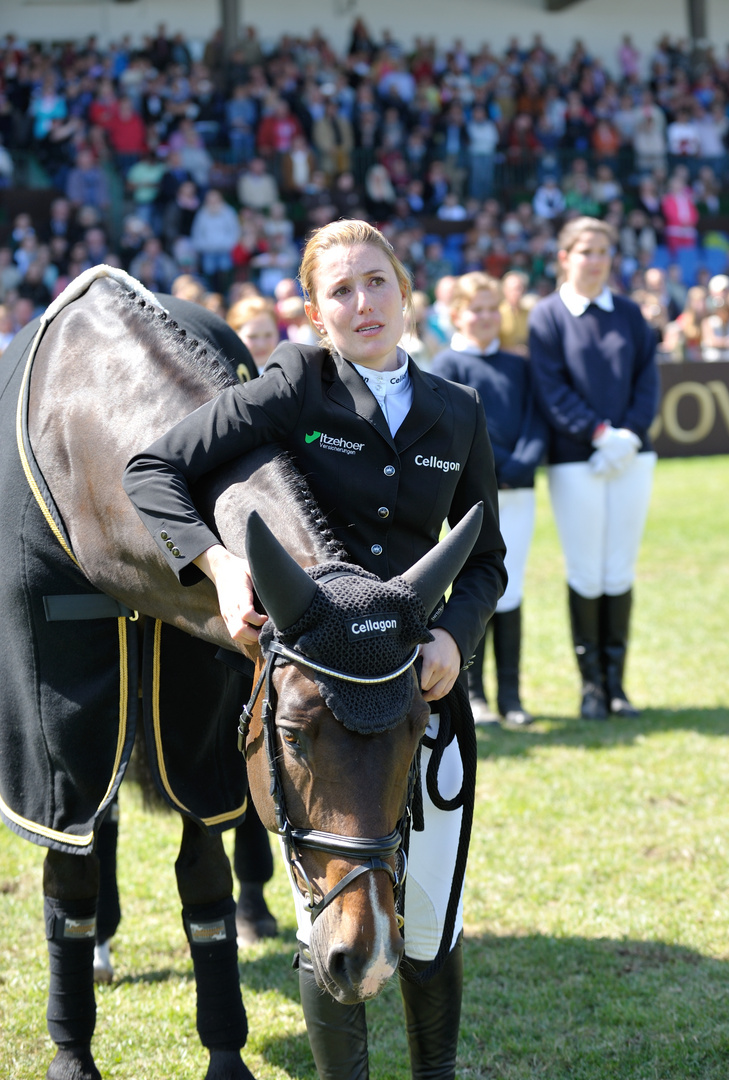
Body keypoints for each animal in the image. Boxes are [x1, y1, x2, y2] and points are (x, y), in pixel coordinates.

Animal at [1, 267, 483, 1071]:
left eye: (420, 730)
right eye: (290, 736)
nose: (369, 956)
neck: (79, 415)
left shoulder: (201, 708)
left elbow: (204, 877)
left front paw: (225, 1049)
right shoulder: (59, 722)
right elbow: (68, 862)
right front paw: (72, 1055)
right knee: (97, 824)